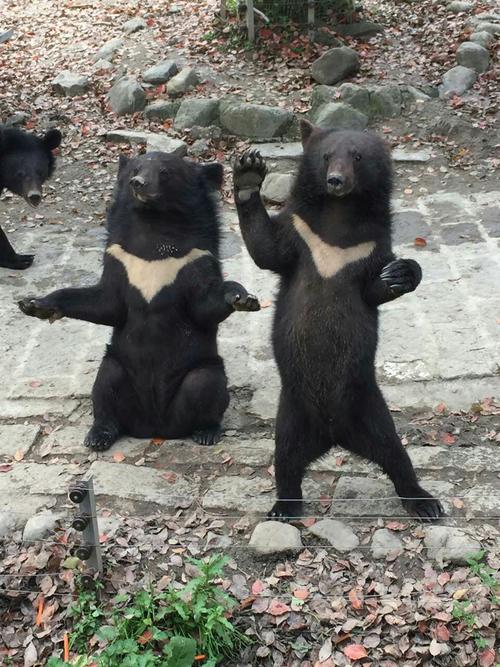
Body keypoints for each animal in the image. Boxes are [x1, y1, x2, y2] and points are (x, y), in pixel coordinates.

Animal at [19, 151, 260, 450]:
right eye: (136, 169)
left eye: (165, 172)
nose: (138, 183)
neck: (153, 225)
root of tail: (155, 426)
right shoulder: (120, 256)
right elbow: (106, 303)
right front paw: (34, 305)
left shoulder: (195, 257)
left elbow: (202, 304)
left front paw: (242, 297)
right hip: (119, 367)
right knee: (106, 383)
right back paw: (99, 435)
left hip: (201, 369)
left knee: (206, 383)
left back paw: (206, 431)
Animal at [232, 119, 444, 522]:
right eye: (327, 156)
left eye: (357, 157)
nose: (335, 180)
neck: (338, 217)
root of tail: (333, 435)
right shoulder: (302, 233)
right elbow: (267, 249)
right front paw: (249, 171)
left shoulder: (370, 244)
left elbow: (375, 287)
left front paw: (402, 272)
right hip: (291, 411)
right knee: (285, 460)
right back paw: (283, 506)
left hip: (369, 406)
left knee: (396, 453)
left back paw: (424, 502)